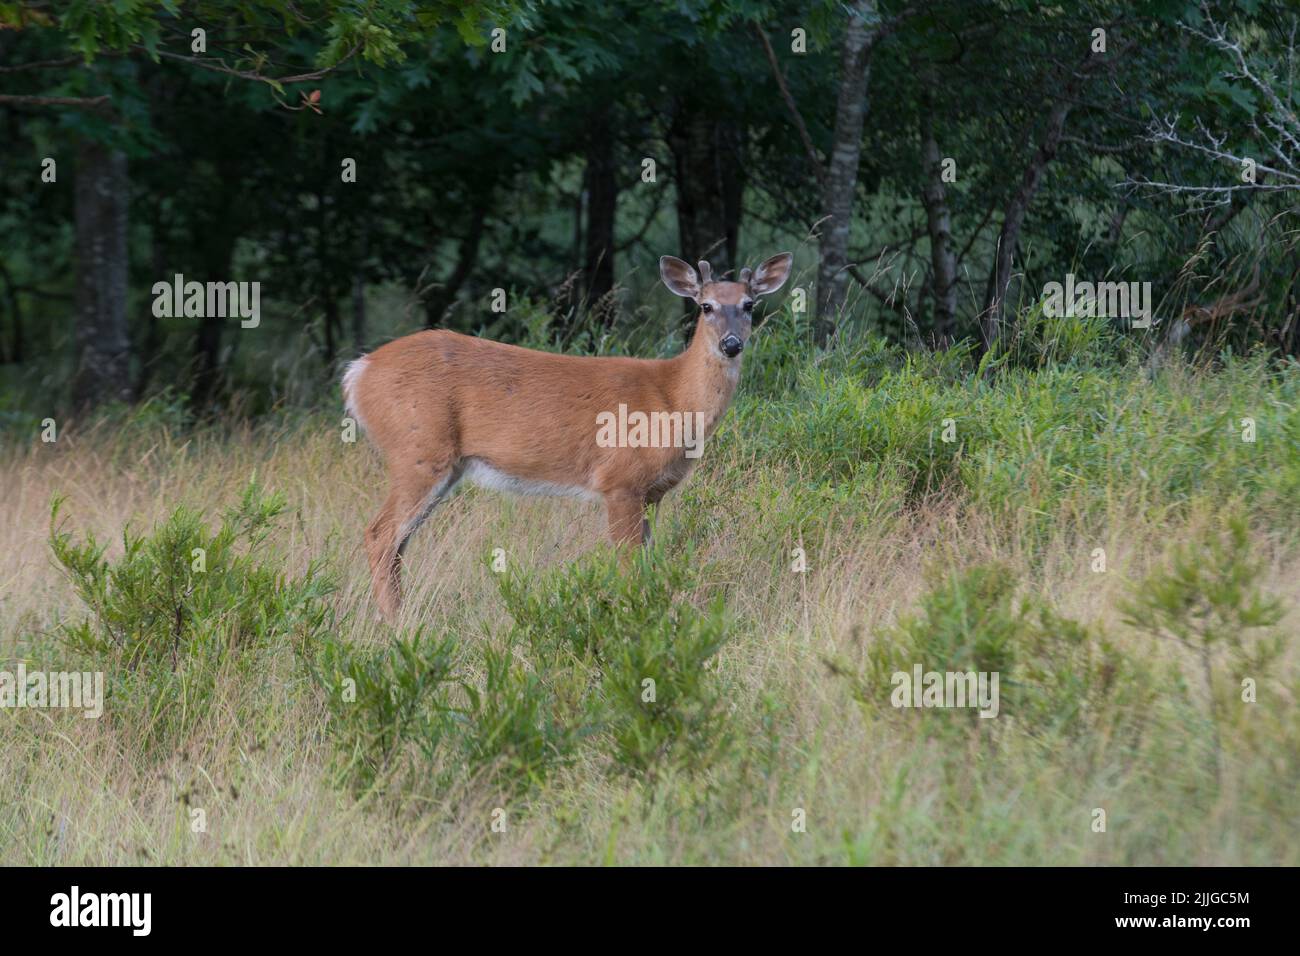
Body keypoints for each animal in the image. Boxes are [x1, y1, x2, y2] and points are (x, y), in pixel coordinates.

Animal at [343, 251, 790, 616]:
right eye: (706, 306)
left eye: (749, 305)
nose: (731, 344)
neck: (672, 399)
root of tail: (358, 373)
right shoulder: (619, 481)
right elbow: (628, 565)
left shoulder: (653, 493)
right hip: (418, 452)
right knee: (380, 534)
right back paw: (397, 624)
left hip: (444, 467)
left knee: (398, 543)